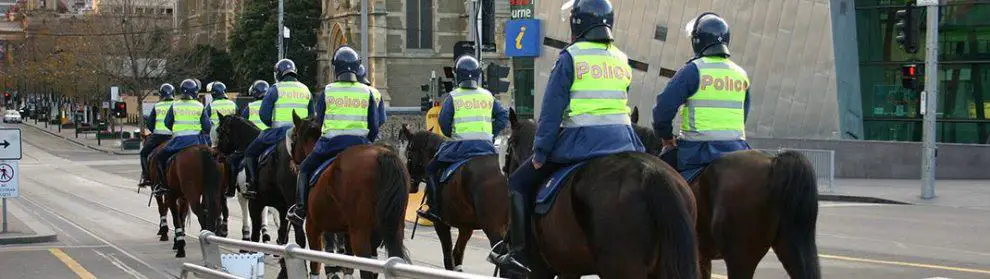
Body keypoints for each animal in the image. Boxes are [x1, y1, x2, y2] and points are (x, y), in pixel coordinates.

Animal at [286, 112, 410, 278]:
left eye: (294, 135)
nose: (293, 164)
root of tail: (382, 155)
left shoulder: (313, 226)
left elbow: (315, 263)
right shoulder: (346, 232)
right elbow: (348, 265)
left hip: (360, 232)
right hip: (394, 228)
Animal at [402, 126, 512, 272]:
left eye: (408, 154)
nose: (410, 185)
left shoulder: (441, 224)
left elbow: (448, 257)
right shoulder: (466, 227)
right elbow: (458, 255)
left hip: (493, 227)